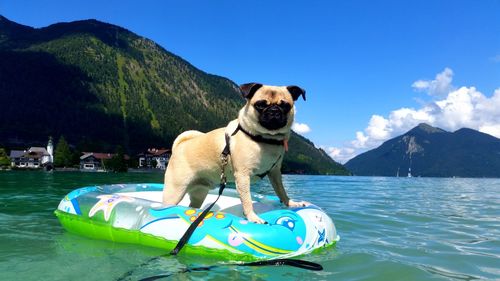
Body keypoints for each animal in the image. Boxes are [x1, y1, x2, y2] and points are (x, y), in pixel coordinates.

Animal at [162, 83, 308, 223]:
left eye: (285, 106)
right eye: (260, 105)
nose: (274, 110)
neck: (266, 139)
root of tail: (180, 146)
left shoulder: (275, 173)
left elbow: (281, 191)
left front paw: (290, 203)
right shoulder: (243, 175)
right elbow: (247, 200)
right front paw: (252, 217)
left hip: (199, 193)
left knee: (193, 205)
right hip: (175, 191)